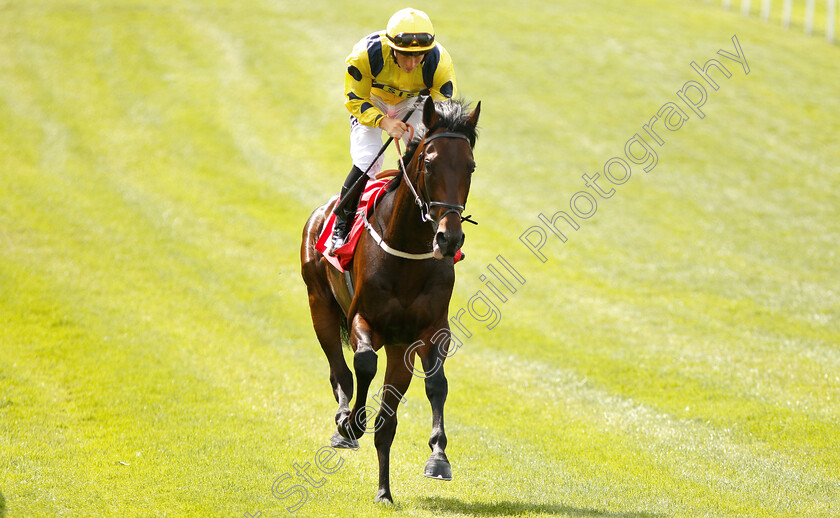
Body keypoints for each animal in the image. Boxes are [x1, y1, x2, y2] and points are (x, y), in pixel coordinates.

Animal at [298, 96, 480, 504]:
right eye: (428, 161)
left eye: (471, 165)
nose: (449, 238)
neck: (407, 254)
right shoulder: (362, 317)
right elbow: (364, 363)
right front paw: (352, 423)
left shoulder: (429, 331)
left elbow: (436, 384)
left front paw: (438, 458)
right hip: (319, 304)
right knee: (340, 371)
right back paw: (345, 423)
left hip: (399, 349)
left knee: (388, 421)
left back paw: (384, 490)